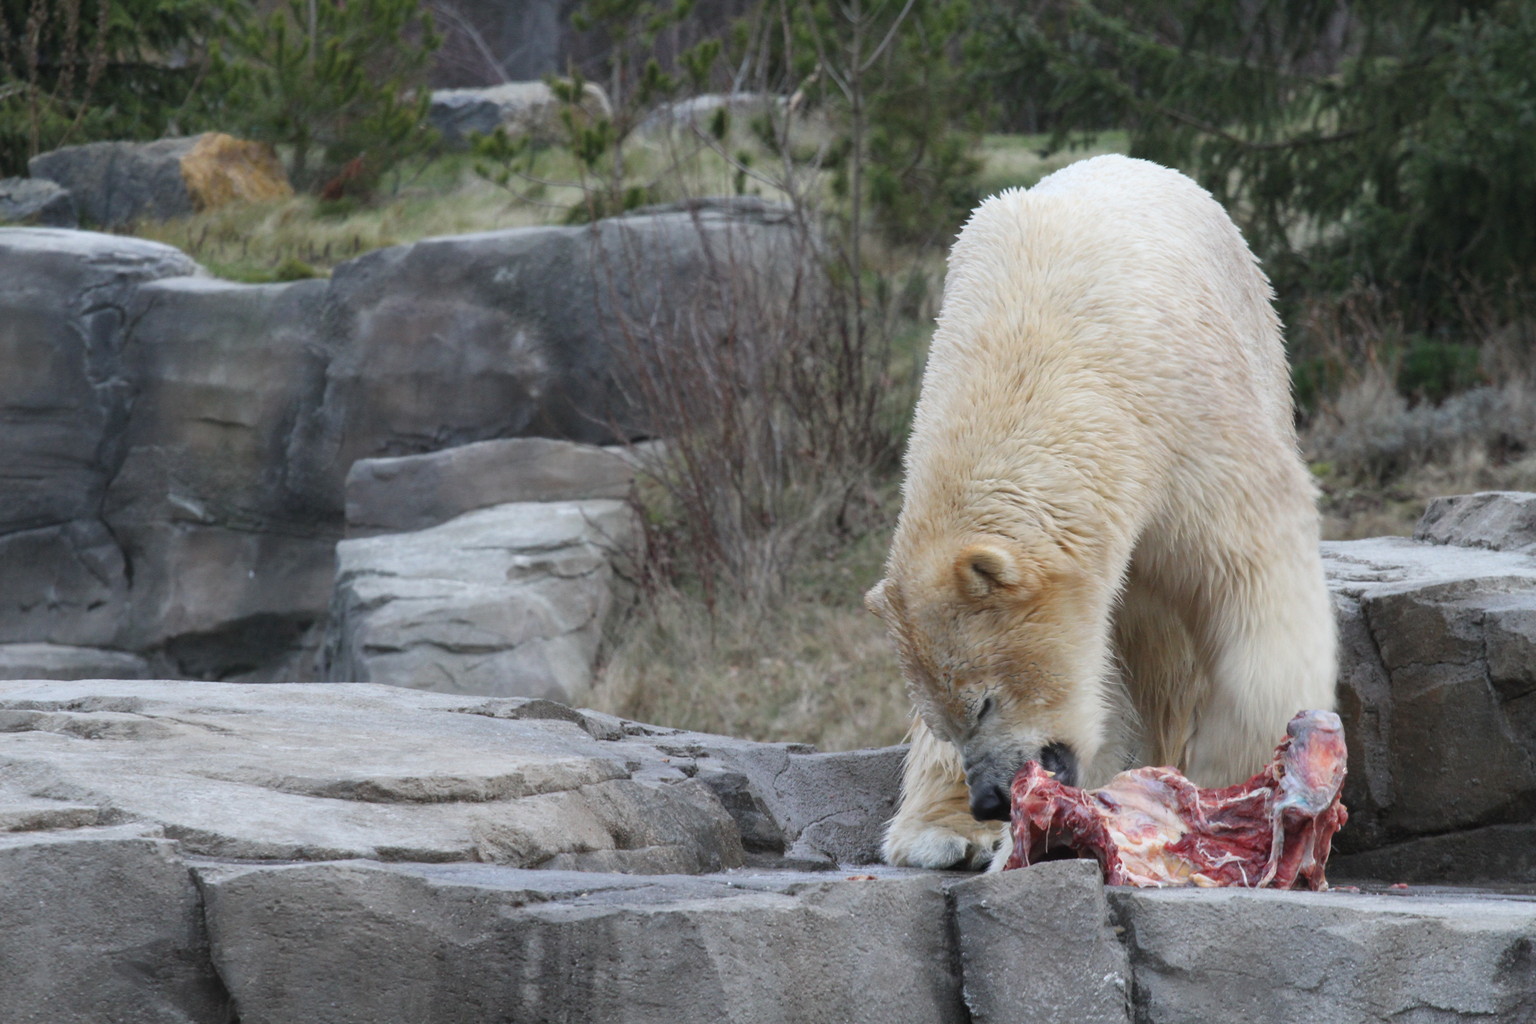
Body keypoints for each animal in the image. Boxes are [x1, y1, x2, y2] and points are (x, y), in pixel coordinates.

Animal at [866, 154, 1338, 870]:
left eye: (985, 702)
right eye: (953, 718)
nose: (991, 799)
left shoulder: (1183, 417)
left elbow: (1252, 573)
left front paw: (1233, 787)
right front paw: (950, 830)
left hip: (1262, 339)